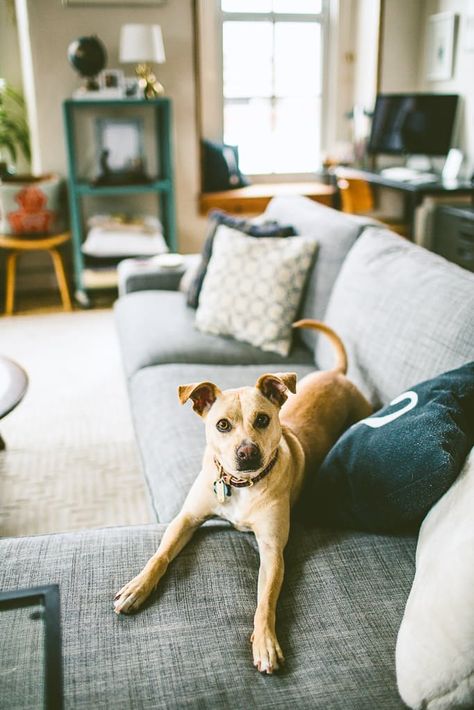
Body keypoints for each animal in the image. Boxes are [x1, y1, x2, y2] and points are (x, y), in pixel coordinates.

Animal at [114, 322, 370, 680]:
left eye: (263, 419)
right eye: (222, 425)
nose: (247, 452)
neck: (240, 484)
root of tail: (337, 373)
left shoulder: (272, 550)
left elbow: (265, 602)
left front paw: (265, 642)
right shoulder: (186, 519)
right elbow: (160, 556)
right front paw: (137, 587)